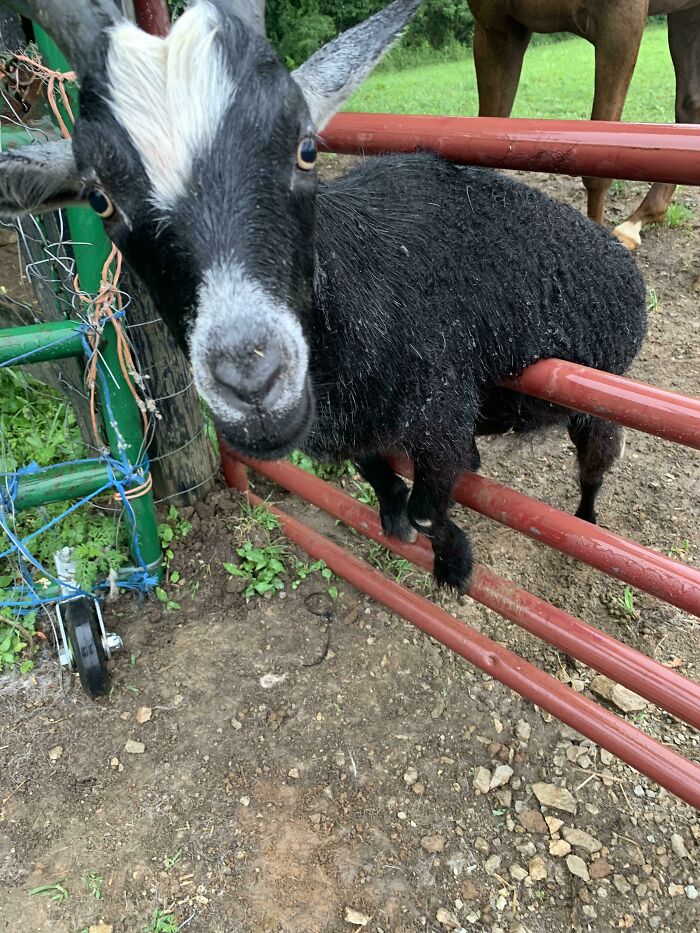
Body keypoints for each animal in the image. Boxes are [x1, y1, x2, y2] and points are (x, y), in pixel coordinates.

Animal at [0, 0, 647, 591]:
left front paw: (454, 564)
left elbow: (429, 507)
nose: (253, 382)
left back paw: (588, 526)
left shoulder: (443, 406)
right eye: (99, 198)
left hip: (600, 394)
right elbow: (381, 477)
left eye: (306, 148)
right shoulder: (350, 427)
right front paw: (394, 514)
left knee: (596, 464)